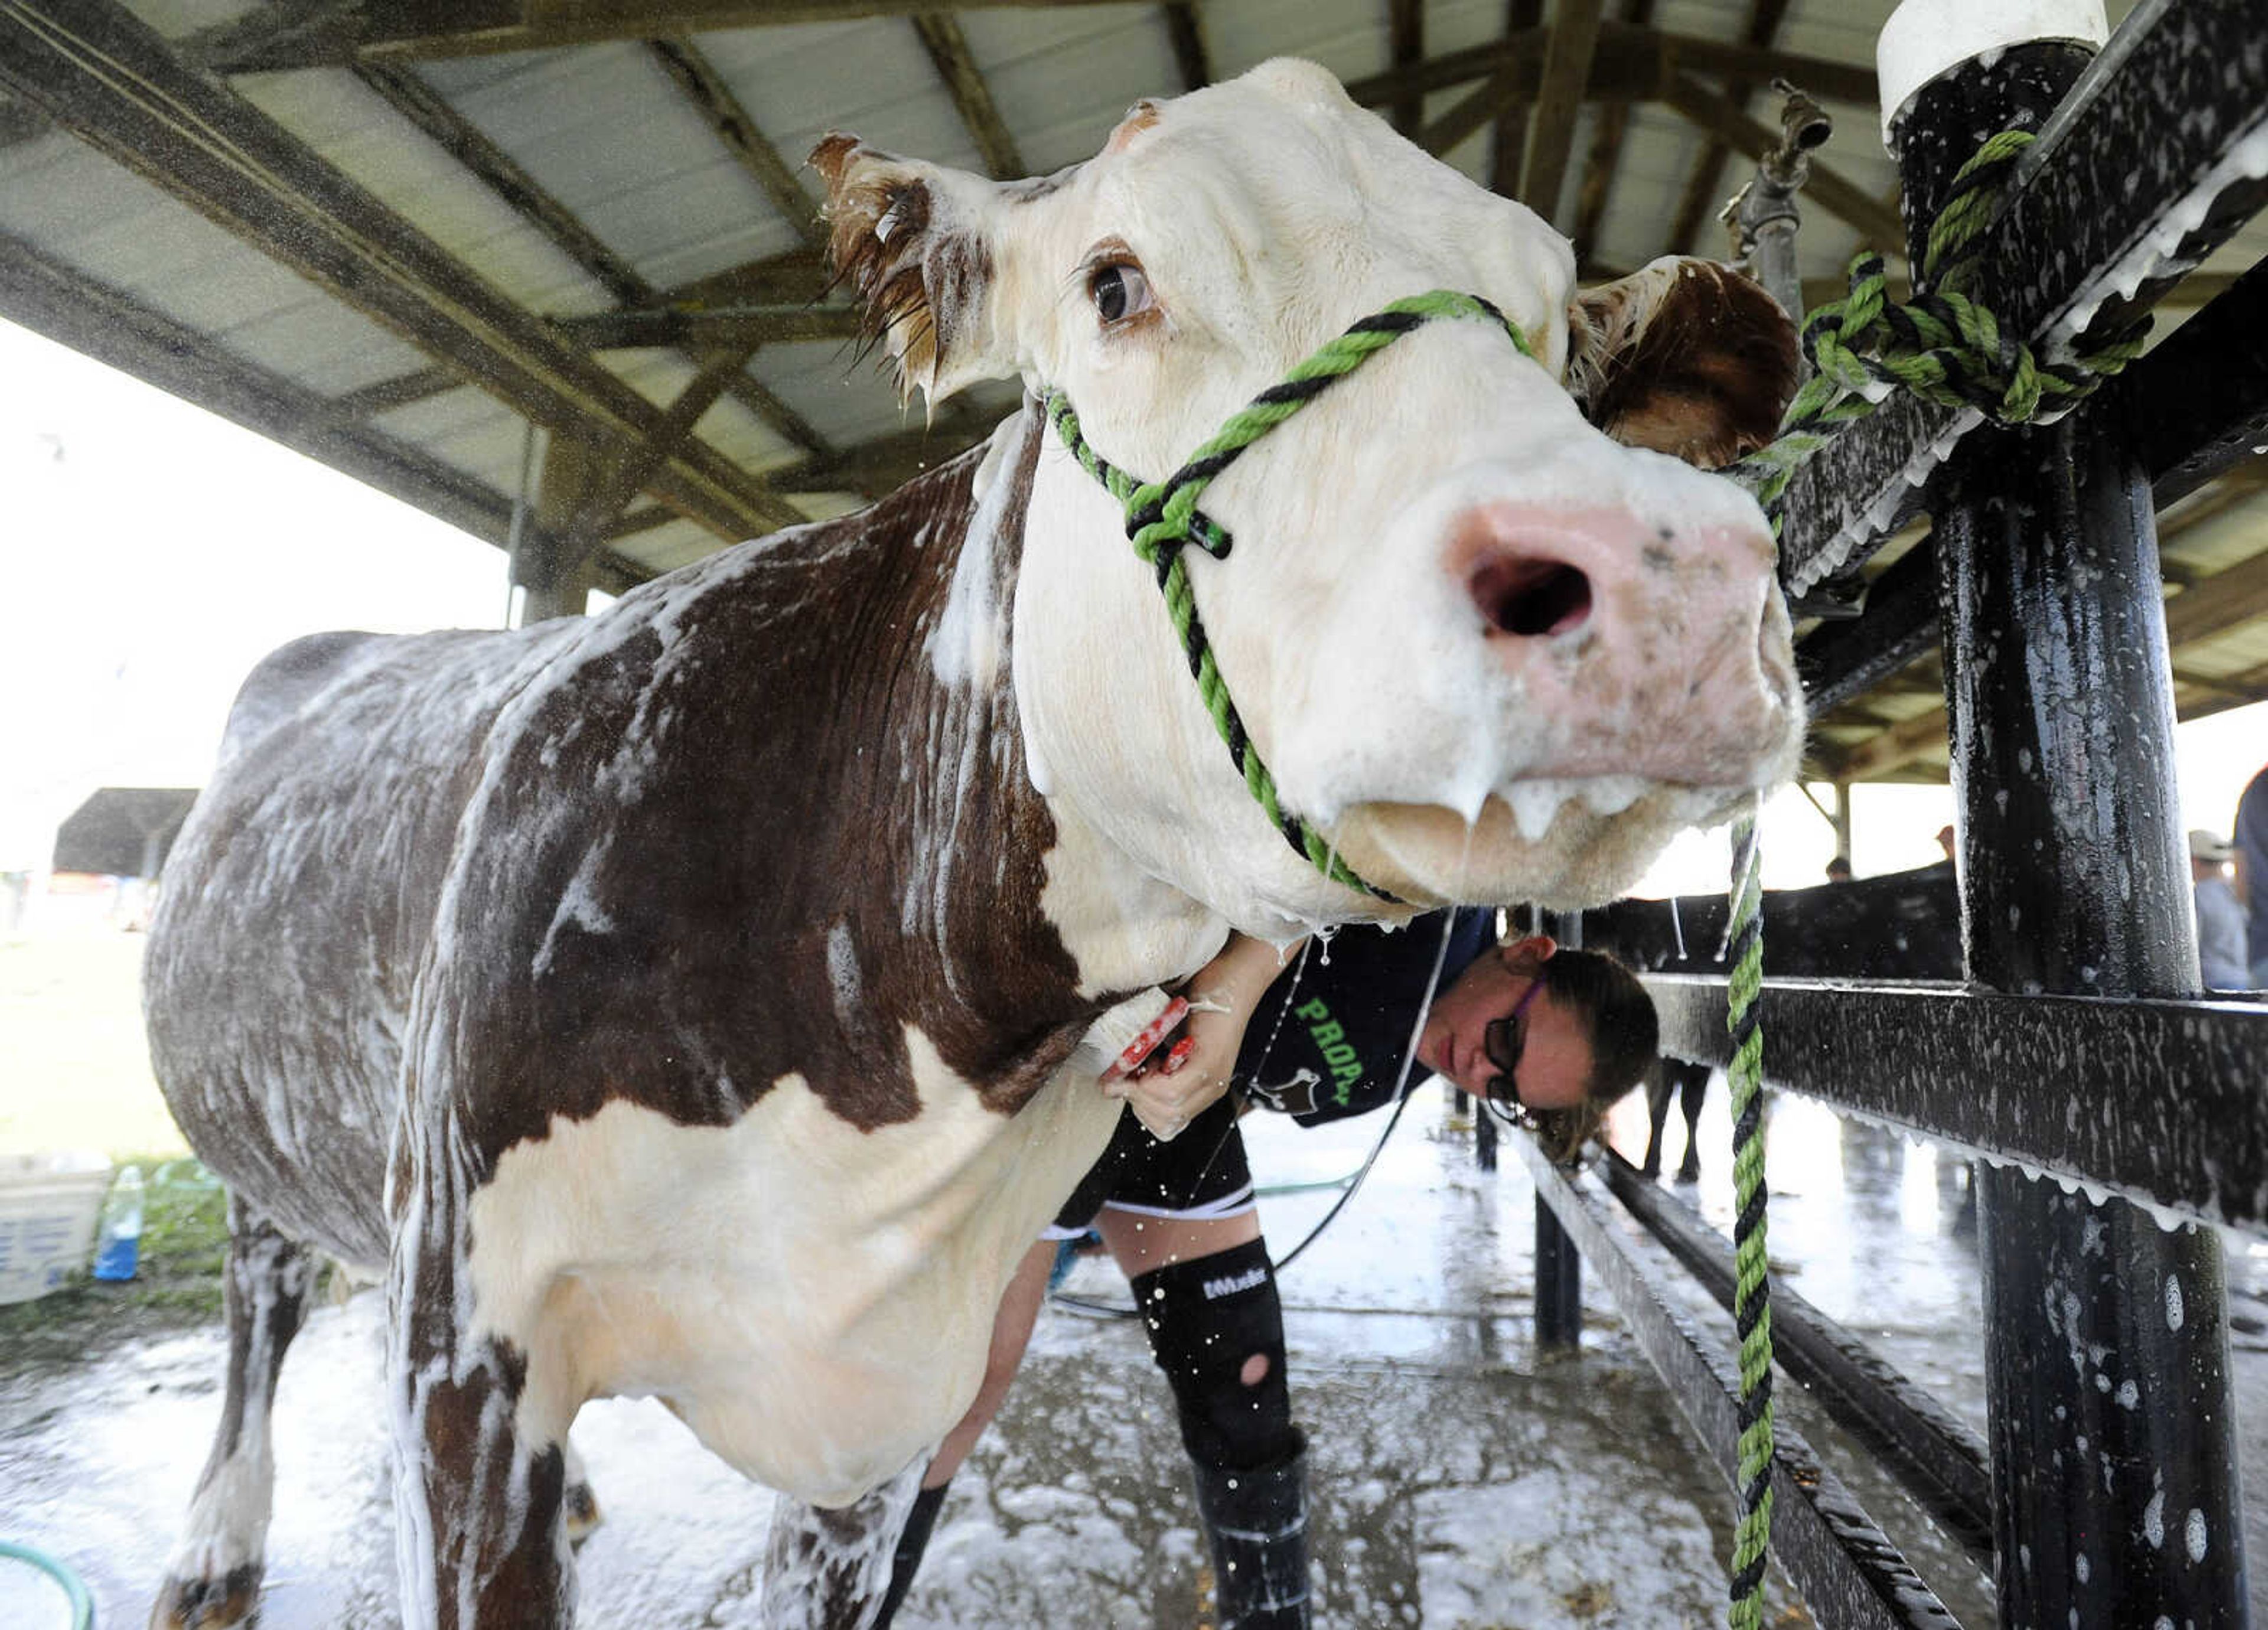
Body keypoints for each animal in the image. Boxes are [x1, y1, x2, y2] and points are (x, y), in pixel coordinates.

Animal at [142, 57, 1805, 1630]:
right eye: (1115, 282)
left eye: (1555, 336)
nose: (1668, 579)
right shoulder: (463, 1352)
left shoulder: (876, 1429)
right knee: (259, 1279)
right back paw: (216, 1532)